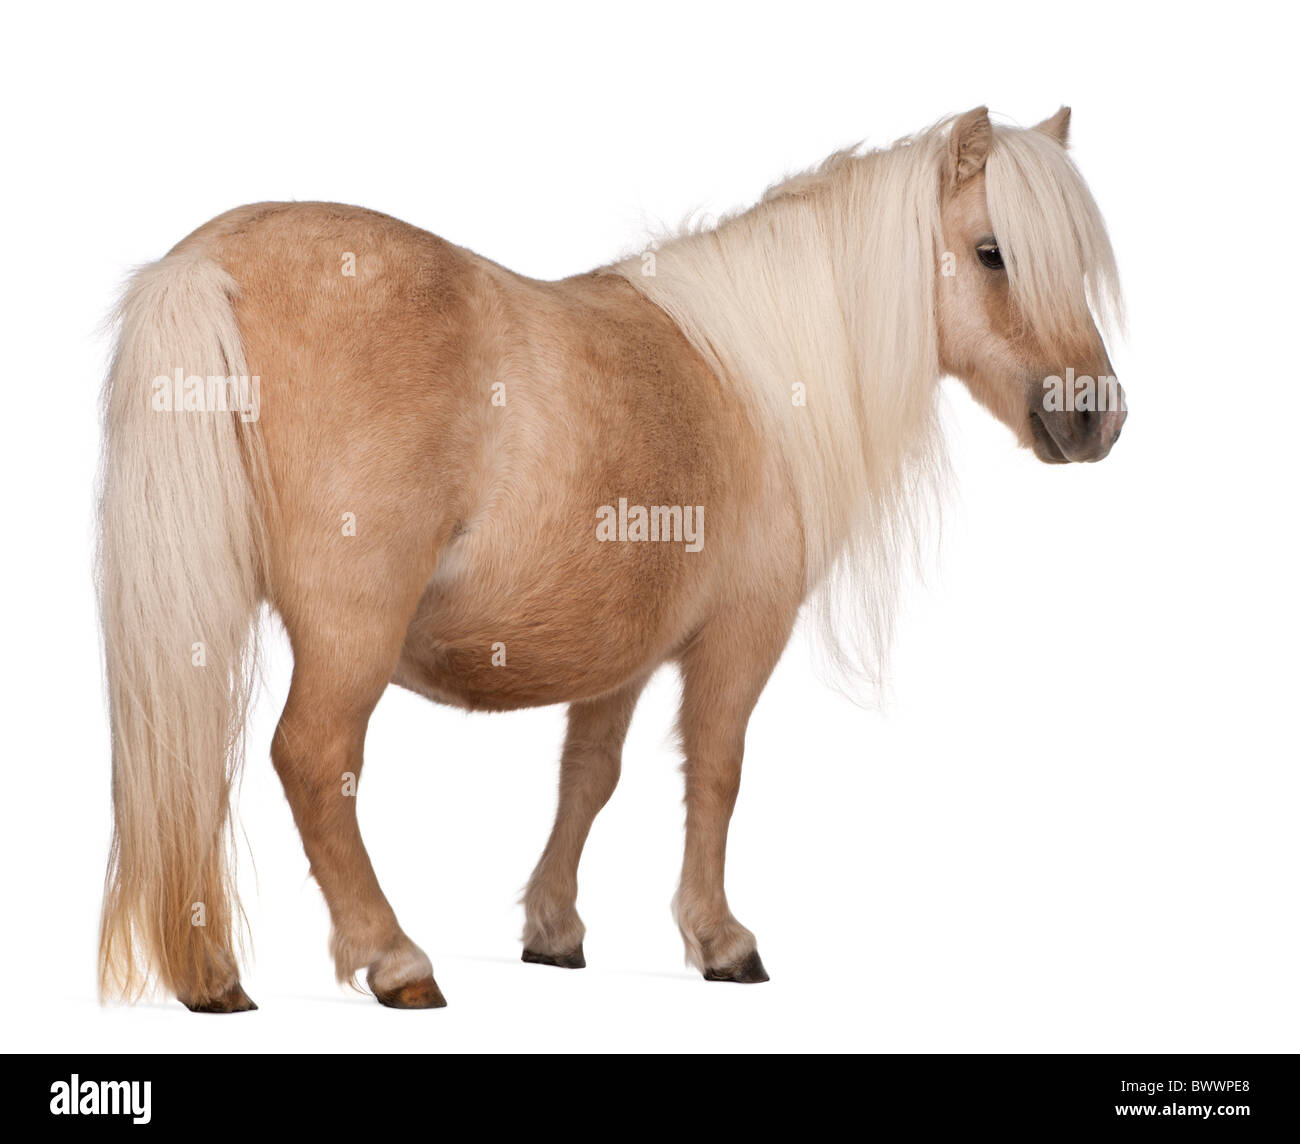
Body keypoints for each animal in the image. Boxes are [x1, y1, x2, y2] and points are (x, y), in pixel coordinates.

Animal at [96, 105, 1125, 1012]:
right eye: (993, 252)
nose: (1095, 417)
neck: (749, 379)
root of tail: (210, 261)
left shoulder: (620, 653)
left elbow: (588, 778)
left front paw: (553, 931)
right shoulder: (743, 632)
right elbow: (716, 771)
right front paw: (720, 940)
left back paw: (212, 975)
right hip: (352, 633)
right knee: (313, 760)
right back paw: (393, 959)